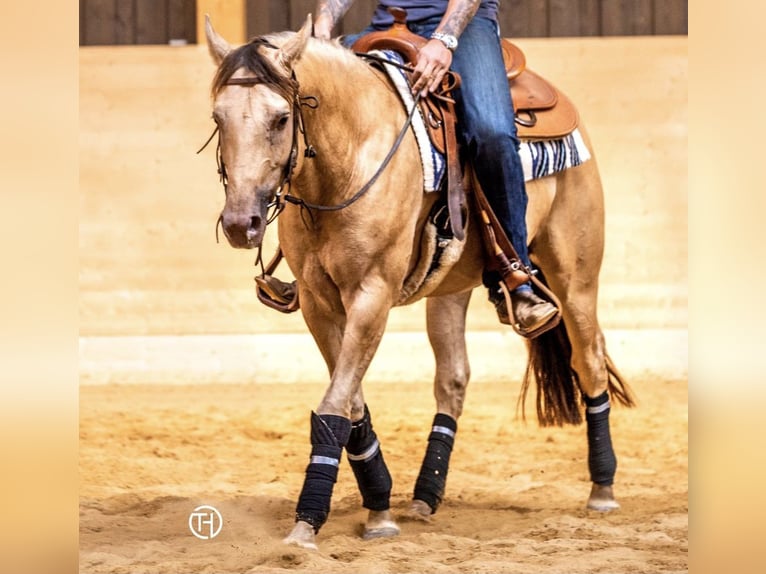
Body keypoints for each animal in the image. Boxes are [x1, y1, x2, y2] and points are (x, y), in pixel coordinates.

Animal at [203, 15, 635, 550]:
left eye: (281, 118)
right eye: (218, 117)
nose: (240, 224)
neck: (350, 159)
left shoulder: (372, 295)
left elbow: (336, 403)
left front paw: (310, 521)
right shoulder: (320, 305)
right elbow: (351, 402)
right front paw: (379, 506)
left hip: (575, 277)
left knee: (589, 361)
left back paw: (602, 489)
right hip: (451, 290)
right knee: (453, 378)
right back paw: (425, 496)